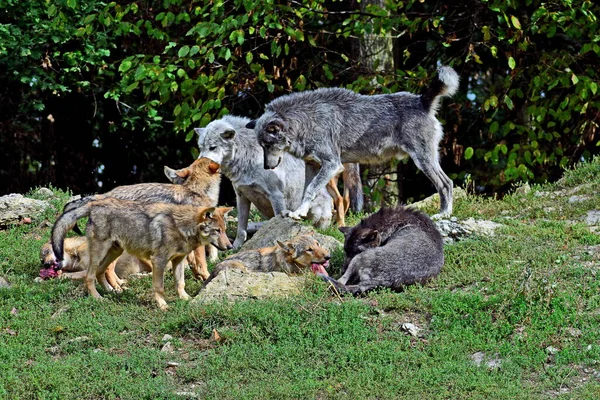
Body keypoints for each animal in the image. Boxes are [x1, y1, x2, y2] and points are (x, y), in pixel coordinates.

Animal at [51, 197, 232, 310]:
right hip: (99, 254)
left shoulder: (178, 261)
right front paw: (162, 305)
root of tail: (94, 204)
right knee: (89, 277)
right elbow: (159, 287)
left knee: (100, 272)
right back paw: (98, 298)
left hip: (115, 251)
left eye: (224, 230)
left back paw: (112, 292)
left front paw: (186, 299)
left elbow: (180, 283)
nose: (230, 246)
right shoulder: (158, 260)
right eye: (217, 231)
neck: (181, 227)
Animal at [63, 156, 223, 282]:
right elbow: (202, 262)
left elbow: (190, 264)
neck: (195, 192)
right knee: (107, 270)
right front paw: (207, 277)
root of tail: (104, 195)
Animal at [248, 67, 460, 220]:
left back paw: (444, 214)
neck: (307, 122)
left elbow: (310, 190)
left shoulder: (332, 165)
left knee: (446, 184)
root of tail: (422, 100)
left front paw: (299, 213)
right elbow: (307, 192)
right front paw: (301, 213)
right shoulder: (312, 166)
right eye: (262, 146)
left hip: (423, 161)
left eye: (268, 145)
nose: (266, 166)